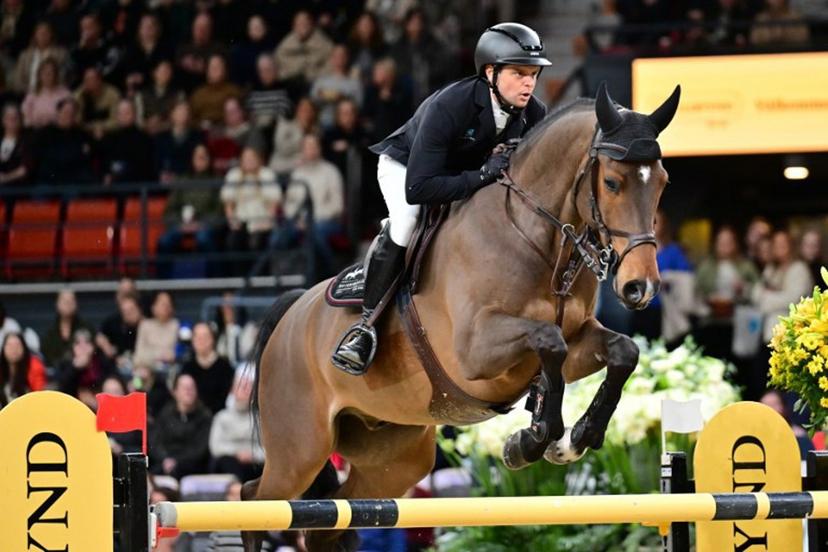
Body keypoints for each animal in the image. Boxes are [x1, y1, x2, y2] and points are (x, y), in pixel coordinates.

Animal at [243, 83, 681, 552]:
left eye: (662, 183)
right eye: (613, 182)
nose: (640, 288)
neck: (537, 238)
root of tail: (291, 315)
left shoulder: (578, 338)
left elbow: (622, 351)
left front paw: (573, 440)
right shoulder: (476, 352)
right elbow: (550, 341)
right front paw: (534, 438)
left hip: (395, 457)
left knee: (327, 520)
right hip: (300, 449)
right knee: (255, 499)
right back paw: (355, 348)